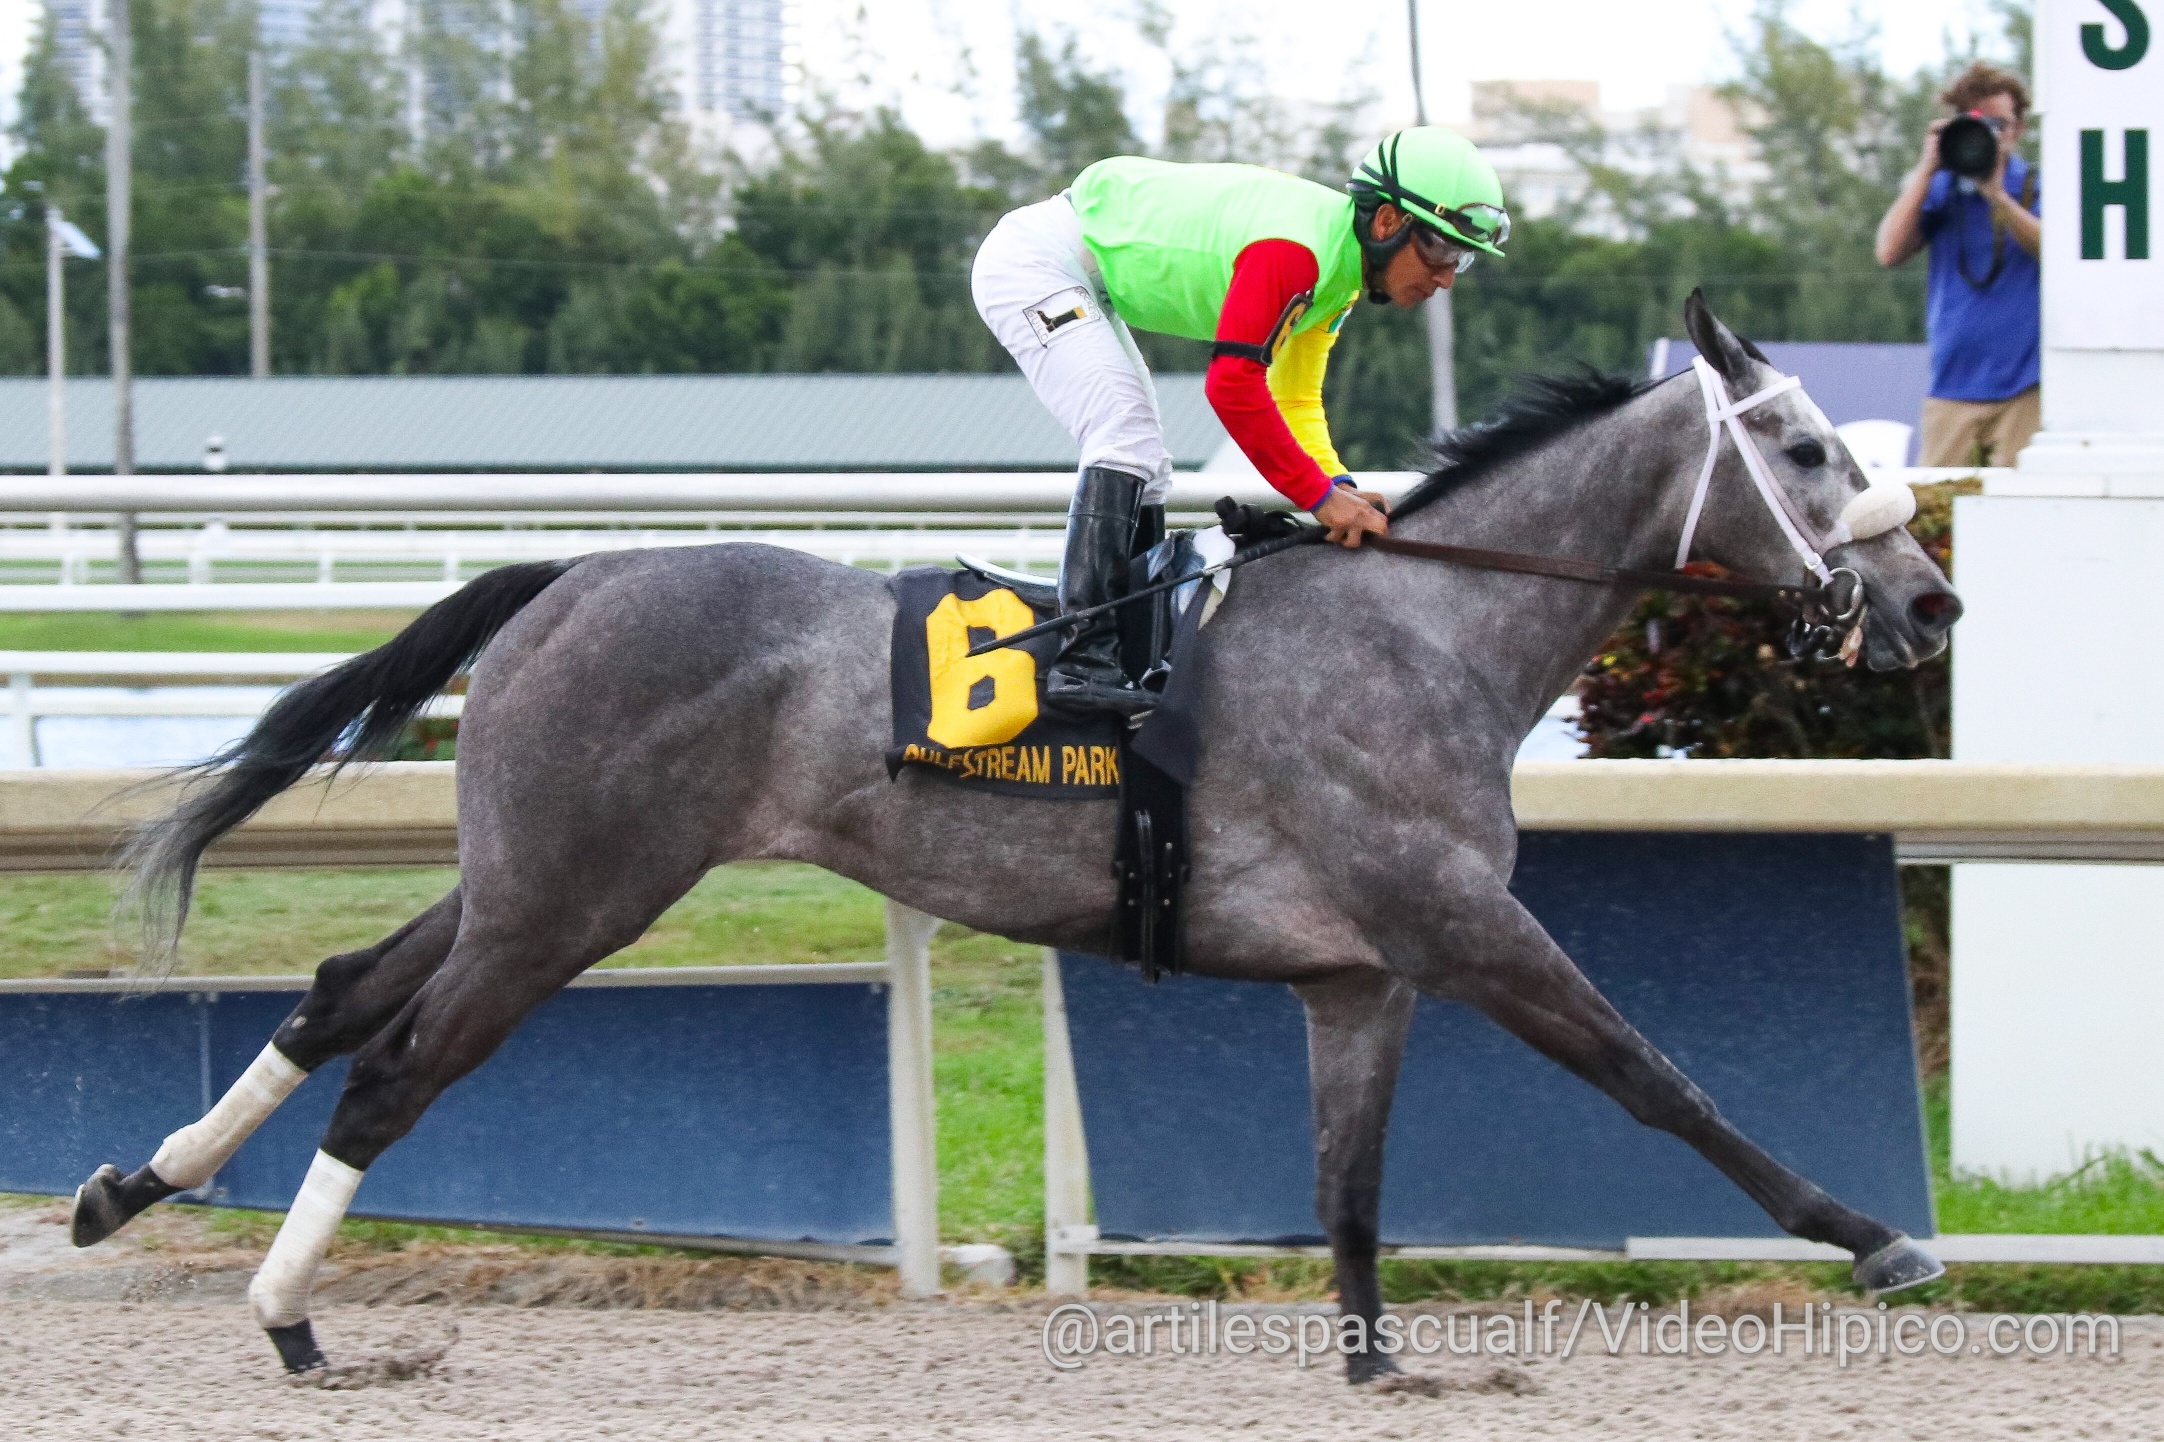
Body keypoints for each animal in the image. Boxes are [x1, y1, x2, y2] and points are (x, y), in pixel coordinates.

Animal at [69, 295, 1961, 1380]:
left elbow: (1347, 1174)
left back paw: (129, 1184)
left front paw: (1373, 1361)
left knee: (336, 989)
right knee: (394, 1070)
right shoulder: (1454, 922)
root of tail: (572, 572)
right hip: (573, 900)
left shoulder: (1360, 973)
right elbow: (1657, 1076)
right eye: (1803, 447)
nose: (1929, 600)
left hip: (522, 875)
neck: (1424, 627)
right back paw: (292, 1321)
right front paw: (1874, 1234)